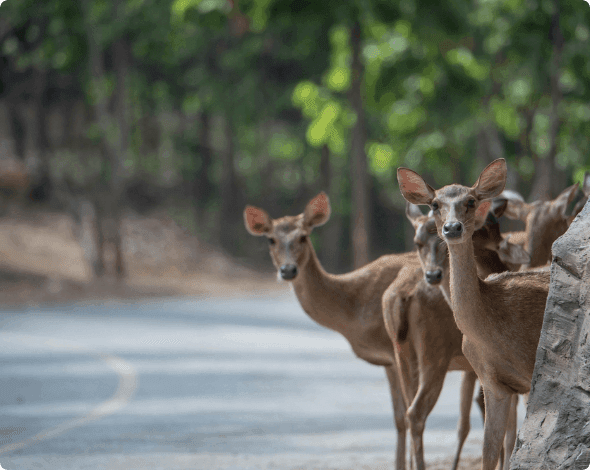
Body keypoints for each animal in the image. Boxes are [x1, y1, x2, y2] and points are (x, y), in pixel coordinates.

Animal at [398, 159, 556, 470]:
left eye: (471, 201)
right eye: (435, 203)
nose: (452, 227)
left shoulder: (533, 373)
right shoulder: (492, 383)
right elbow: (491, 452)